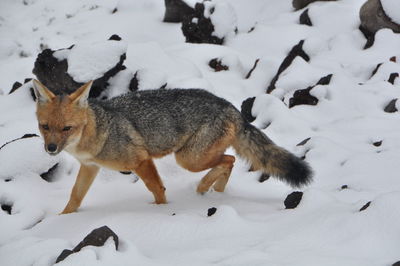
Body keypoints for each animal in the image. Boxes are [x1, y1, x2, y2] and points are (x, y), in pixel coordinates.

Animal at [32, 79, 312, 214]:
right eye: (45, 127)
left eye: (67, 128)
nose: (51, 149)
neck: (98, 131)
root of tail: (230, 106)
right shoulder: (90, 167)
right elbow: (75, 197)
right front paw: (63, 220)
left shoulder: (141, 160)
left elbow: (157, 189)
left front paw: (162, 211)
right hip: (194, 158)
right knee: (229, 161)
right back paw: (216, 192)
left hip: (188, 160)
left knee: (229, 160)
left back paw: (205, 188)